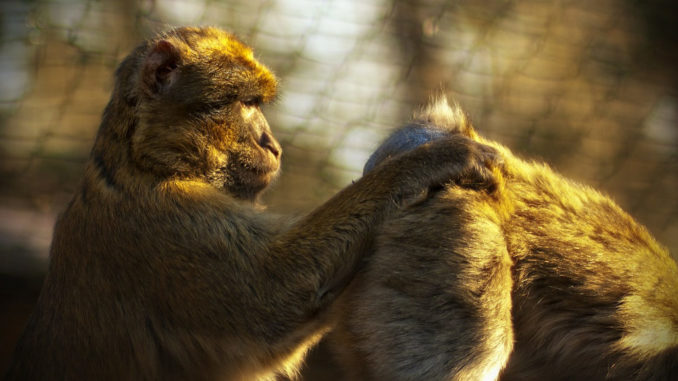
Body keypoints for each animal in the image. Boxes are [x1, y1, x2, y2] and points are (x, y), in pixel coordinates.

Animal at [1, 27, 500, 380]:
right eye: (243, 103)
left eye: (258, 103)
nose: (272, 144)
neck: (146, 163)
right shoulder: (166, 225)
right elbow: (272, 301)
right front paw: (424, 162)